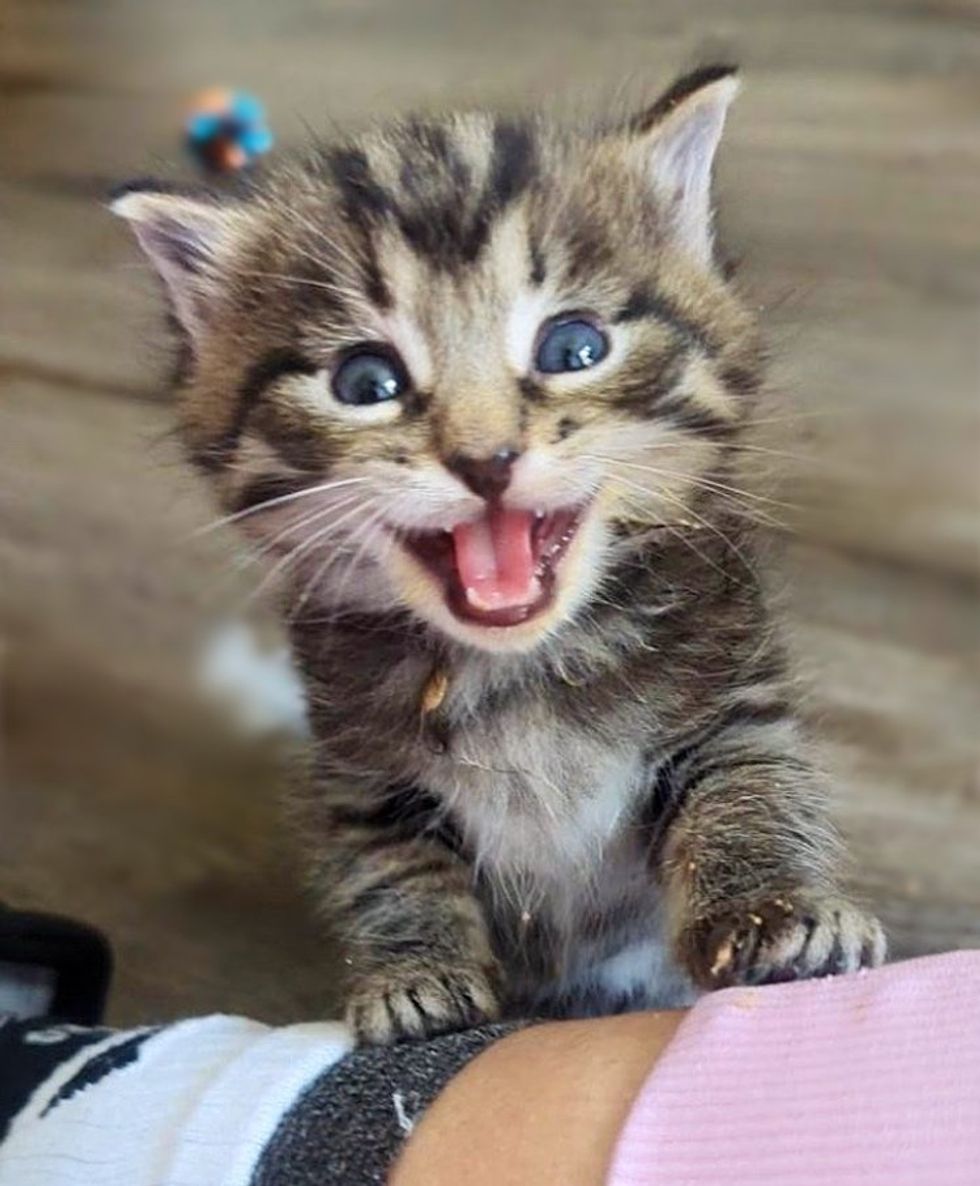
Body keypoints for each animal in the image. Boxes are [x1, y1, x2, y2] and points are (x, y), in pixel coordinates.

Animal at [114, 67, 887, 1038]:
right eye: (366, 381)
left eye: (575, 346)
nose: (487, 459)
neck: (521, 668)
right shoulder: (361, 771)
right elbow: (388, 864)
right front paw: (414, 972)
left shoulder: (729, 698)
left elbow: (749, 792)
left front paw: (774, 911)